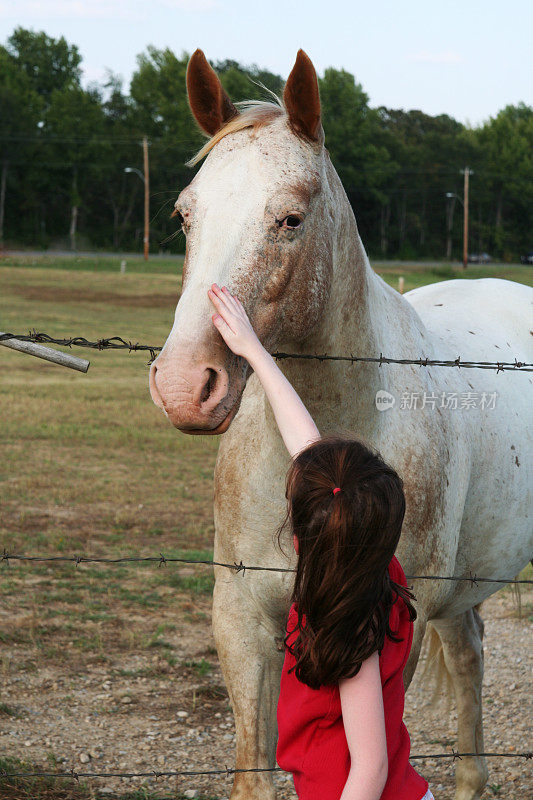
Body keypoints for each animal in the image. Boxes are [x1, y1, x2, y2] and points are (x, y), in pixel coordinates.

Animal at [147, 48, 532, 800]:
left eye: (291, 220)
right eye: (183, 215)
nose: (183, 386)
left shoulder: (391, 624)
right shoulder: (241, 616)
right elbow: (254, 772)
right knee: (469, 654)